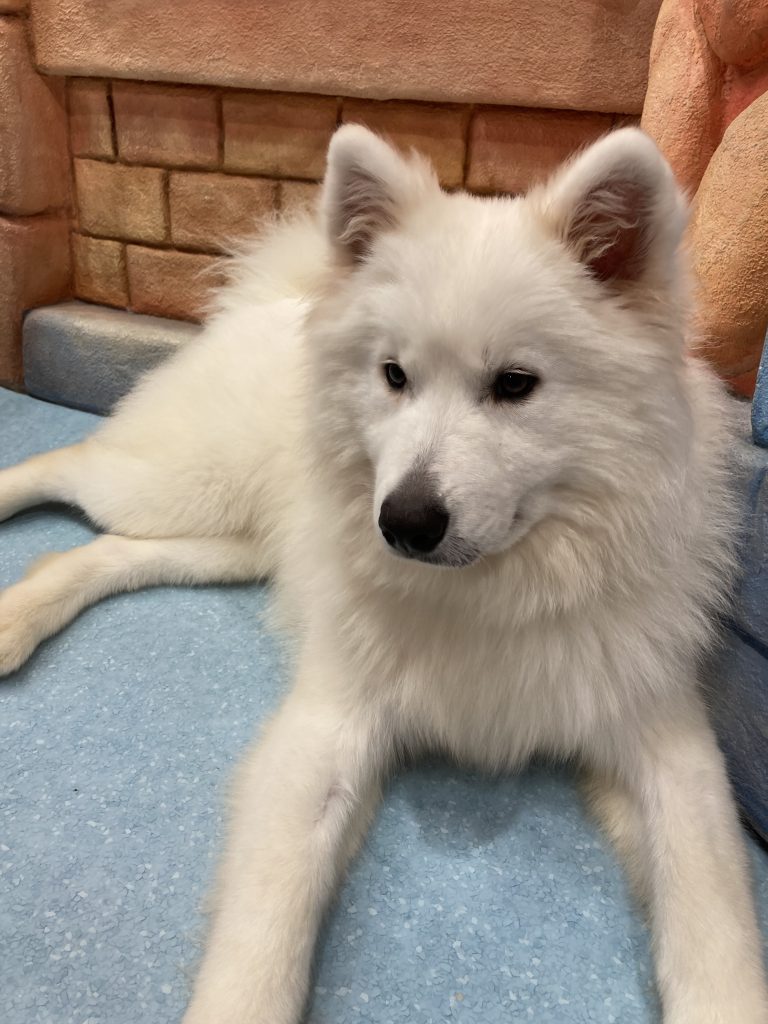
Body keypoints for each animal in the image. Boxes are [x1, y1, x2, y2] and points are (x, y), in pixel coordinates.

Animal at [1, 124, 766, 1023]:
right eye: (394, 375)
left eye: (515, 384)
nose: (403, 522)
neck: (496, 591)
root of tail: (275, 298)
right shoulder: (326, 729)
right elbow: (268, 922)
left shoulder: (667, 745)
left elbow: (711, 916)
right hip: (178, 484)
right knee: (59, 465)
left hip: (222, 544)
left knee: (102, 553)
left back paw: (14, 620)